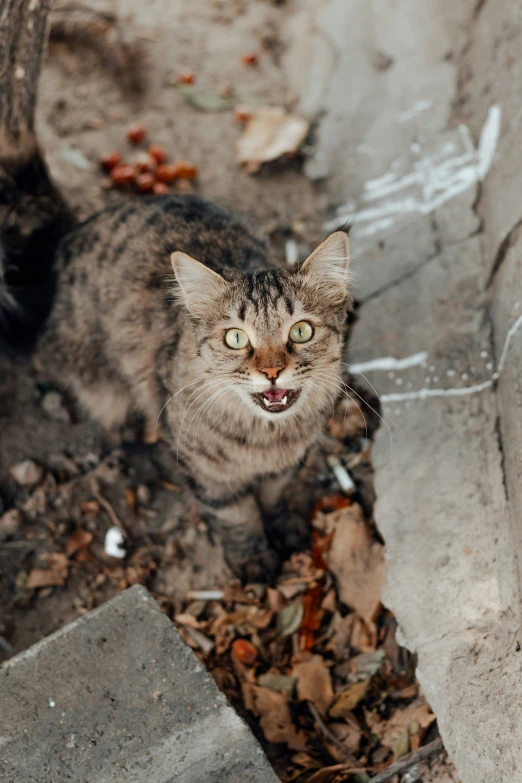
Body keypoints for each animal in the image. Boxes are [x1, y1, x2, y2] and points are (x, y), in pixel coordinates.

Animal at [1, 0, 350, 580]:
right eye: (236, 339)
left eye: (300, 331)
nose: (271, 371)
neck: (265, 441)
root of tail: (64, 246)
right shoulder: (208, 475)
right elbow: (236, 514)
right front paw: (254, 559)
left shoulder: (287, 466)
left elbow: (275, 498)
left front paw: (284, 535)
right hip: (102, 383)